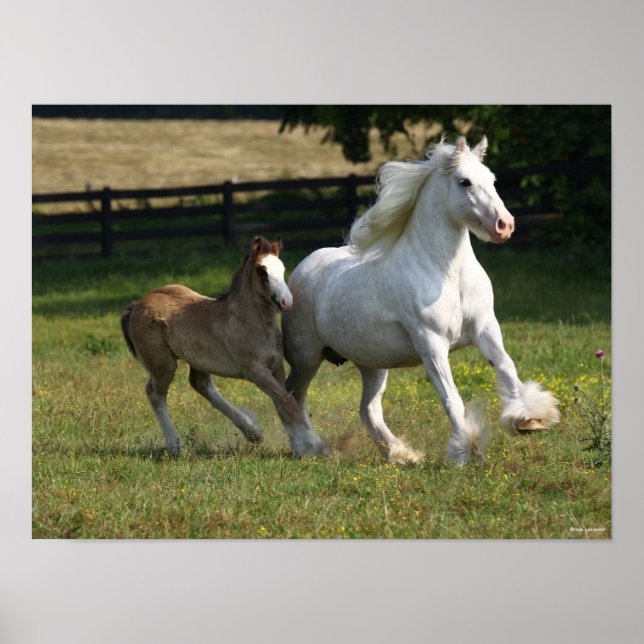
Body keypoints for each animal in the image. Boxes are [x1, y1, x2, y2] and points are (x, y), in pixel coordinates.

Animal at [121, 236, 326, 457]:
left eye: (282, 268)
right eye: (261, 271)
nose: (287, 302)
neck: (250, 321)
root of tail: (136, 305)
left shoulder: (275, 366)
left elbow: (284, 402)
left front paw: (300, 445)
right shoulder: (255, 371)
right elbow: (288, 402)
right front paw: (316, 444)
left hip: (198, 360)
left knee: (201, 384)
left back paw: (253, 432)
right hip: (163, 364)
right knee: (155, 393)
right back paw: (174, 445)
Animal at [282, 136, 560, 465]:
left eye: (492, 179)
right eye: (464, 182)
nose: (504, 225)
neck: (448, 274)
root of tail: (301, 268)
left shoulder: (486, 328)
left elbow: (506, 367)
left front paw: (529, 419)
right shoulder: (432, 342)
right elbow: (451, 398)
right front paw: (466, 449)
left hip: (373, 363)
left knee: (368, 409)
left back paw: (402, 455)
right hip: (306, 356)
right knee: (291, 396)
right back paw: (308, 447)